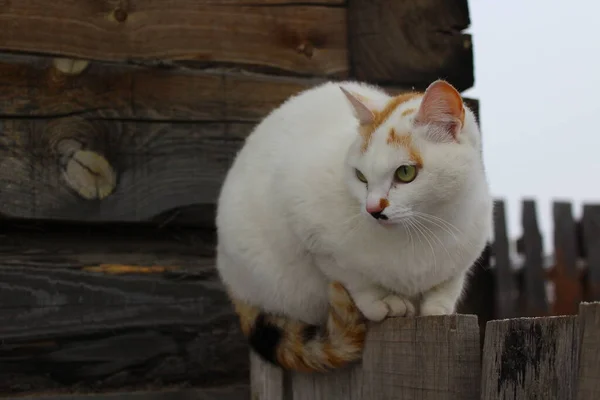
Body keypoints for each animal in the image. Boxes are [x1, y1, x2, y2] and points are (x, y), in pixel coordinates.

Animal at [214, 78, 492, 372]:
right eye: (361, 176)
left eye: (405, 173)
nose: (372, 209)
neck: (421, 230)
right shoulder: (313, 237)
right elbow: (355, 278)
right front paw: (383, 300)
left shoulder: (462, 256)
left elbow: (446, 284)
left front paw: (437, 307)